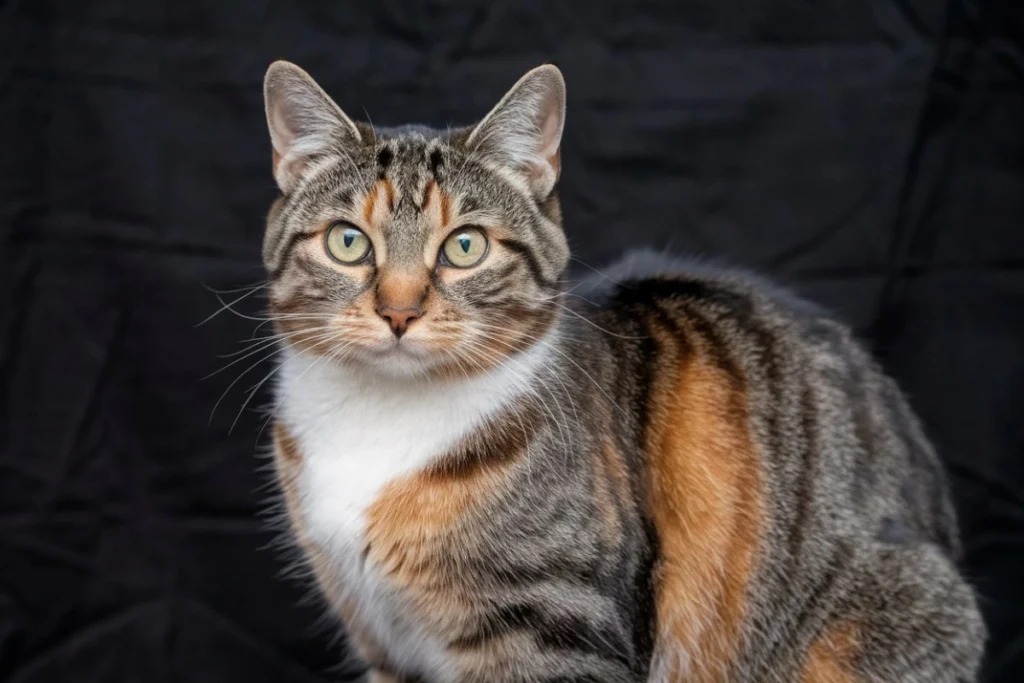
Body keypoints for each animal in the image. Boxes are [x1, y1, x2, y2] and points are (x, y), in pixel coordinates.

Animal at [258, 60, 983, 683]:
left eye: (465, 246)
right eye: (348, 242)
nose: (399, 312)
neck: (382, 420)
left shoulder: (559, 624)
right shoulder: (383, 638)